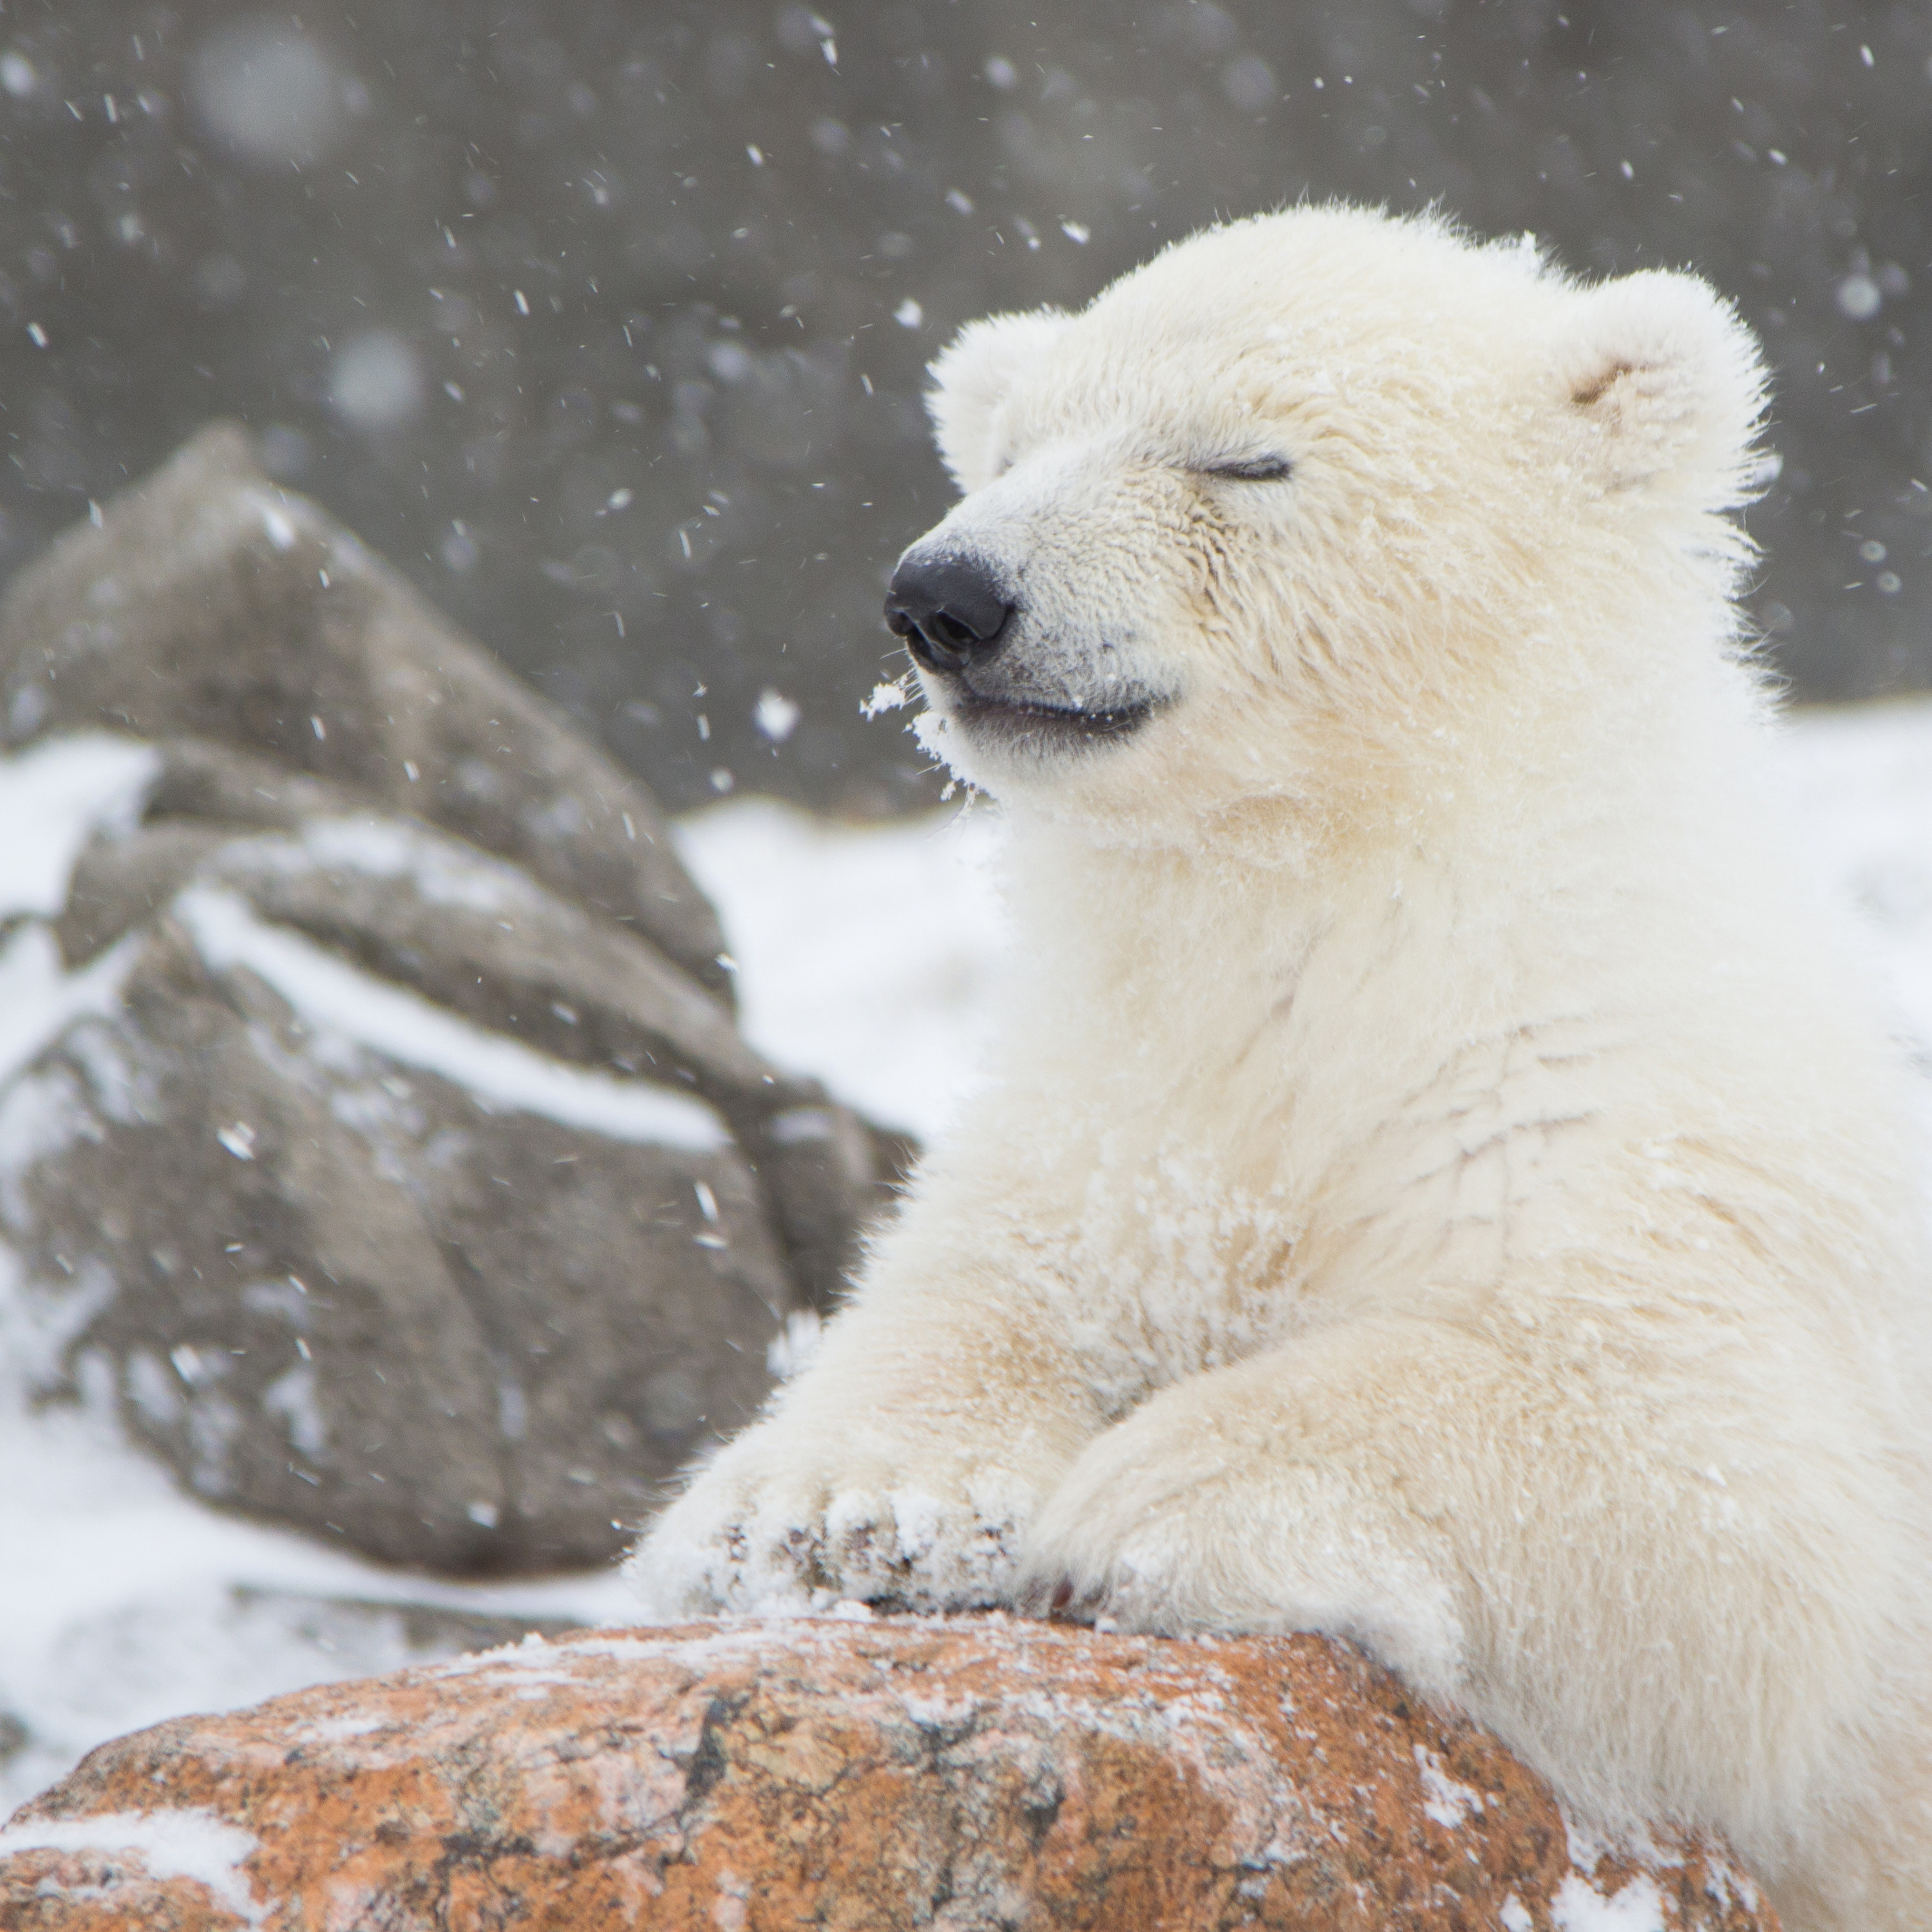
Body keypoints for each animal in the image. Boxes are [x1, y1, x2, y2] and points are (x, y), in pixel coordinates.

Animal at [628, 207, 1932, 1930]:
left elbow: (1731, 1517)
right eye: (1015, 445)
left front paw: (1151, 1493)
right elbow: (979, 1278)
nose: (947, 592)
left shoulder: (1639, 1146)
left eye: (1243, 458)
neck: (1344, 916)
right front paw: (843, 1509)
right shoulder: (1118, 1104)